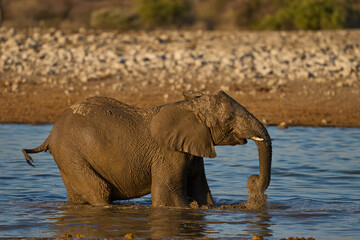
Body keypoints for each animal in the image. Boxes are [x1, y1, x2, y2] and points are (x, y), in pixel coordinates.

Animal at [21, 91, 270, 207]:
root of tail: (50, 134)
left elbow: (202, 190)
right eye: (229, 119)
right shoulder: (168, 154)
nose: (252, 180)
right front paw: (189, 206)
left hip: (68, 158)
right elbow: (167, 196)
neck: (189, 107)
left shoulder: (192, 147)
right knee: (100, 190)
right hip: (71, 154)